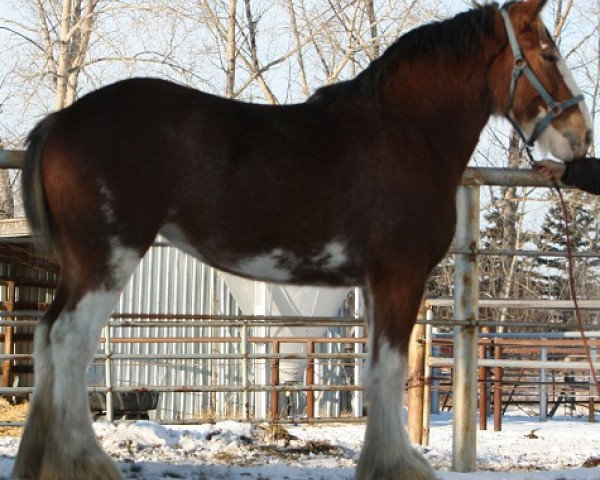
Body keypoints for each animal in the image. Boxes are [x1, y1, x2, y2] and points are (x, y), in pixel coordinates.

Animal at [12, 0, 592, 480]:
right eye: (547, 52)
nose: (581, 136)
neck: (405, 133)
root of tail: (61, 119)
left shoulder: (375, 284)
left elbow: (377, 372)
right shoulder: (400, 275)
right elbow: (387, 371)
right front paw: (396, 466)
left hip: (80, 265)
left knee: (45, 339)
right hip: (108, 258)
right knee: (69, 342)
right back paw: (83, 463)